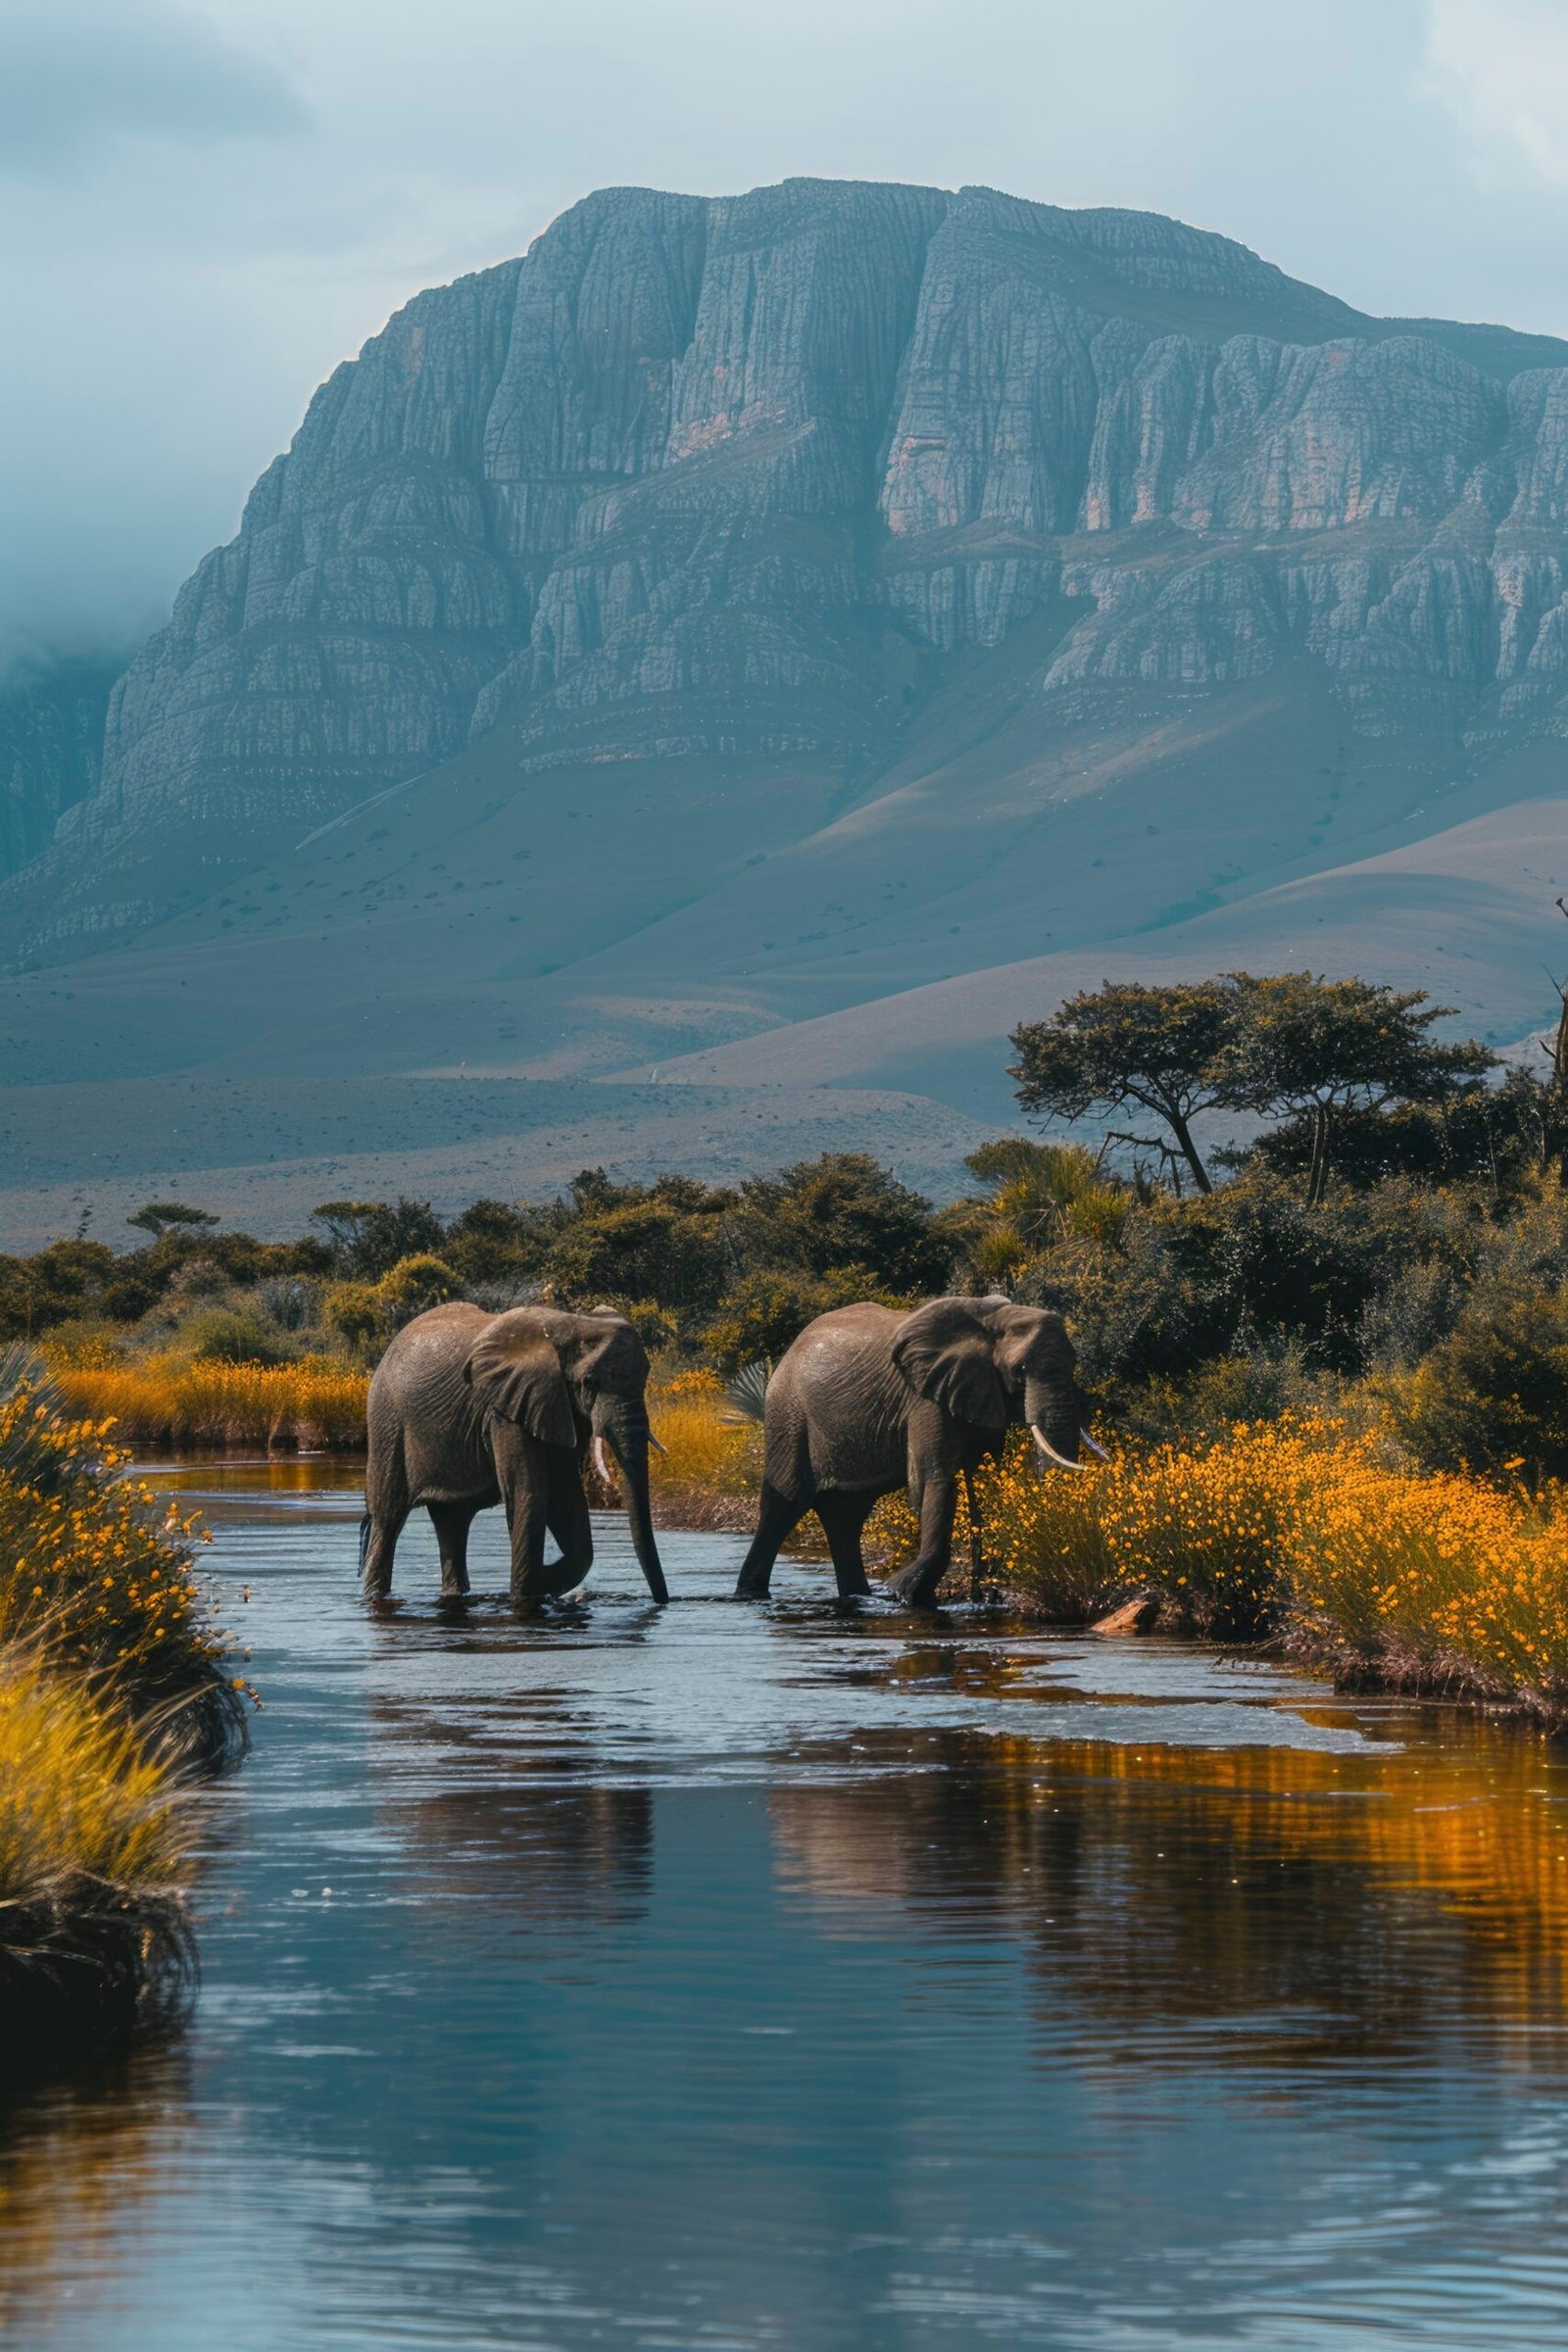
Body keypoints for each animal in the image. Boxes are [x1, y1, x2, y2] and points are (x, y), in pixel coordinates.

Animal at [360, 1301, 668, 1606]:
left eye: (645, 1377)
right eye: (589, 1382)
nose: (662, 1601)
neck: (571, 1324)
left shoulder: (555, 1405)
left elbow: (565, 1496)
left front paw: (547, 1582)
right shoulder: (504, 1410)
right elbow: (529, 1493)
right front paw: (530, 1589)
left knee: (452, 1522)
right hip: (387, 1425)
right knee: (388, 1520)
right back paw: (375, 1593)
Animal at [734, 1295, 1099, 1608]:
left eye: (1074, 1365)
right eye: (1020, 1372)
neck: (993, 1320)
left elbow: (985, 1482)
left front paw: (985, 1598)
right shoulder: (924, 1398)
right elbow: (934, 1480)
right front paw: (906, 1593)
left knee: (844, 1515)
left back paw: (859, 1597)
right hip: (788, 1414)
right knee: (785, 1504)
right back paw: (751, 1596)